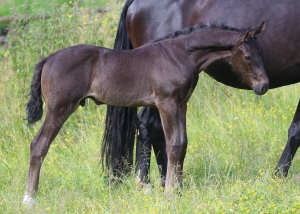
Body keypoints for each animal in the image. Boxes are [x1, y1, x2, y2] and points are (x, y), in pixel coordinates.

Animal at [22, 21, 268, 206]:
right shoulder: (166, 103)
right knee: (38, 144)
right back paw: (29, 199)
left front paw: (179, 191)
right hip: (60, 107)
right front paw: (169, 194)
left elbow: (183, 144)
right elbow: (173, 145)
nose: (263, 86)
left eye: (262, 53)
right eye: (248, 57)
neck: (180, 54)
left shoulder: (182, 104)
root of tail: (49, 59)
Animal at [102, 0, 300, 186]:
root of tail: (135, 3)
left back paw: (167, 180)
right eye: (248, 57)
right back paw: (149, 182)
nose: (263, 86)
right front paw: (279, 175)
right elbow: (295, 132)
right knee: (147, 124)